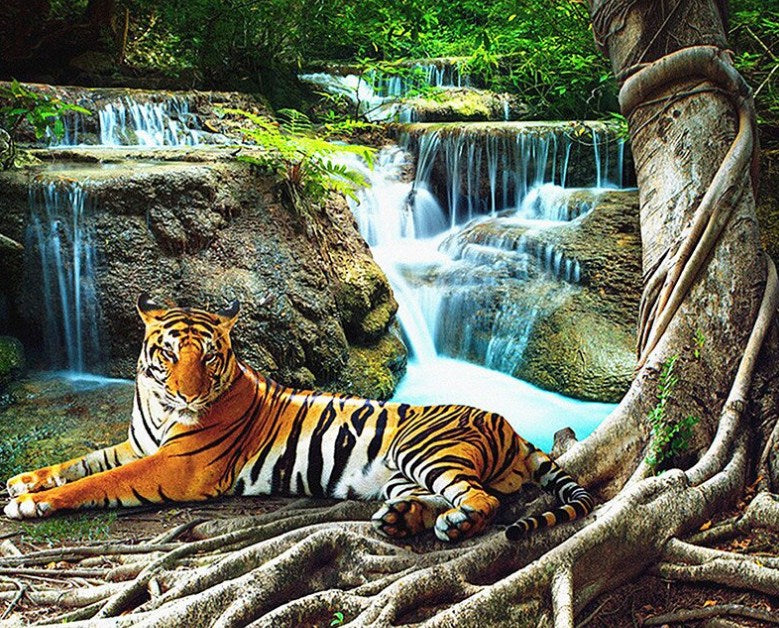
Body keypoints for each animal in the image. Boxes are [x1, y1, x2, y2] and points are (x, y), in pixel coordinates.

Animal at [4, 294, 594, 542]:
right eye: (168, 354)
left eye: (209, 358)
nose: (188, 394)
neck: (157, 405)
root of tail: (512, 428)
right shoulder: (140, 444)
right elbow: (82, 462)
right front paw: (24, 480)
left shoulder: (175, 466)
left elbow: (100, 481)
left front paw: (31, 503)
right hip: (400, 474)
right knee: (442, 498)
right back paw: (402, 521)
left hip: (423, 450)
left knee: (483, 500)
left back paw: (454, 525)